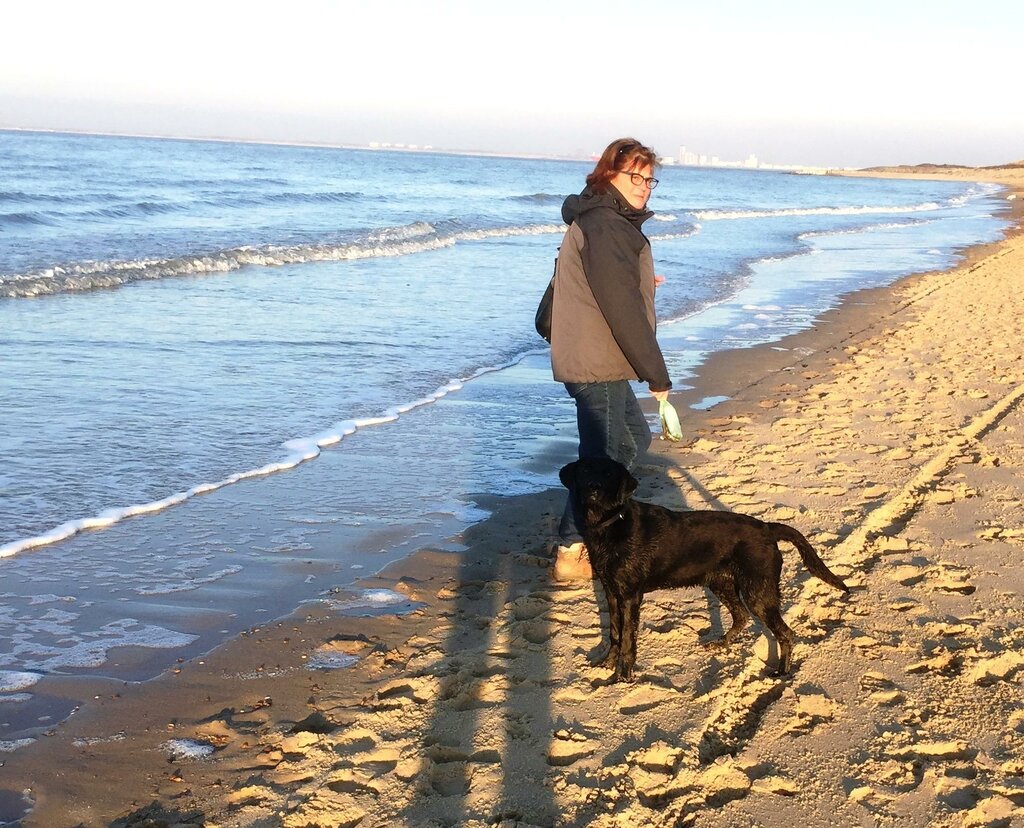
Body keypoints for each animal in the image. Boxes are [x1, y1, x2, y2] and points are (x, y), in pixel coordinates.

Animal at [560, 457, 849, 681]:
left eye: (609, 474)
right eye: (585, 470)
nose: (593, 489)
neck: (610, 524)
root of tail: (767, 528)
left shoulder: (630, 596)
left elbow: (629, 638)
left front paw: (623, 675)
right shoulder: (610, 591)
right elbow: (615, 632)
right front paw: (607, 663)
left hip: (758, 592)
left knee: (785, 633)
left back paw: (782, 672)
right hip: (722, 583)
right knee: (741, 616)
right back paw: (722, 643)